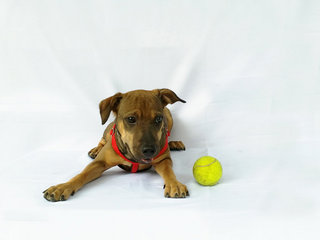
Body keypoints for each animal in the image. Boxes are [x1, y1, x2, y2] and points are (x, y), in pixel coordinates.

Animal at [42, 88, 188, 201]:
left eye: (158, 119)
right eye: (131, 119)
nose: (149, 150)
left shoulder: (163, 159)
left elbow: (168, 171)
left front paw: (174, 184)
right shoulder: (99, 163)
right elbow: (81, 174)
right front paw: (62, 187)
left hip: (169, 116)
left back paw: (174, 143)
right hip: (107, 130)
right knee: (102, 139)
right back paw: (96, 150)